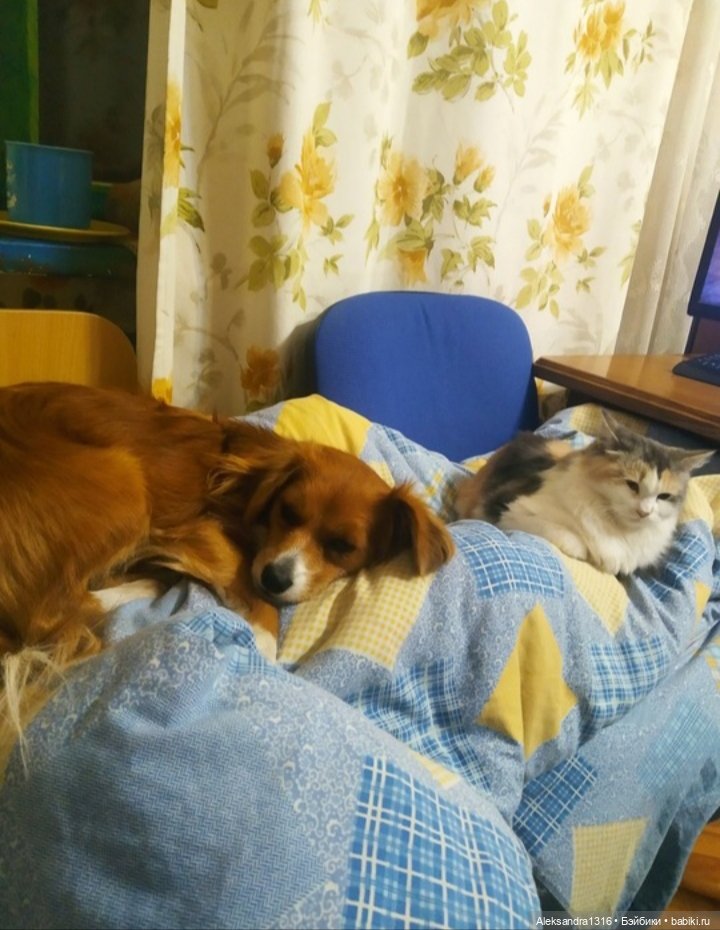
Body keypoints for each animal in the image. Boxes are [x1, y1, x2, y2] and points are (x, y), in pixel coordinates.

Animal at [0, 381, 454, 669]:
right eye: (288, 512)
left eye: (343, 546)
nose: (274, 578)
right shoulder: (198, 530)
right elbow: (250, 586)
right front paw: (265, 648)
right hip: (126, 484)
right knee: (49, 616)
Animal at [454, 411, 714, 575]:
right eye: (632, 485)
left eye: (663, 497)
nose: (645, 512)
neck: (618, 529)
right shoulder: (508, 508)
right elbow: (567, 536)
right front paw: (585, 550)